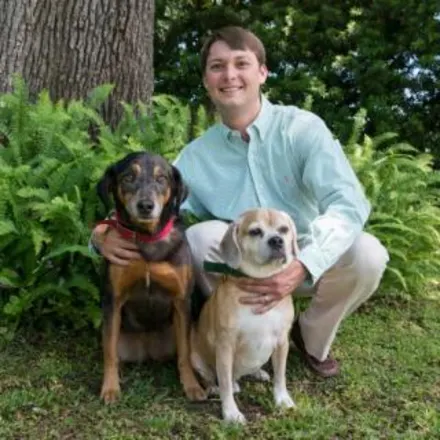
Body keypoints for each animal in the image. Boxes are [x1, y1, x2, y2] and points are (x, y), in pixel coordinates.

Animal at [96, 153, 206, 404]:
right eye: (128, 177)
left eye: (161, 178)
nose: (146, 206)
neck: (146, 239)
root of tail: (148, 349)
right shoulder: (113, 300)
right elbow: (109, 353)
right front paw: (110, 388)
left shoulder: (182, 300)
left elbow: (185, 353)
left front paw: (192, 386)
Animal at [190, 209, 300, 422]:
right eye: (255, 231)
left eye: (284, 229)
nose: (276, 240)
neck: (261, 282)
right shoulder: (225, 346)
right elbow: (225, 382)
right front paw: (230, 412)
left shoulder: (282, 341)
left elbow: (280, 376)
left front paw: (282, 399)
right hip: (196, 358)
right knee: (215, 378)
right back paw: (218, 386)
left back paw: (258, 372)